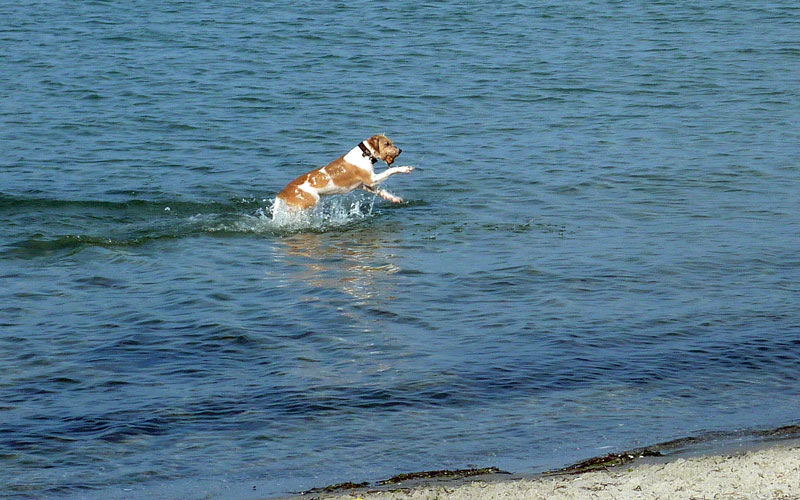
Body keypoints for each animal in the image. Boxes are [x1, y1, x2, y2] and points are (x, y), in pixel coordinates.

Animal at [275, 134, 414, 210]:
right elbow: (391, 170)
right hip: (310, 201)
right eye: (387, 144)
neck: (365, 154)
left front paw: (394, 198)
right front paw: (406, 168)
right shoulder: (371, 179)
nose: (400, 150)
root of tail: (283, 192)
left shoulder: (364, 185)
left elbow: (381, 191)